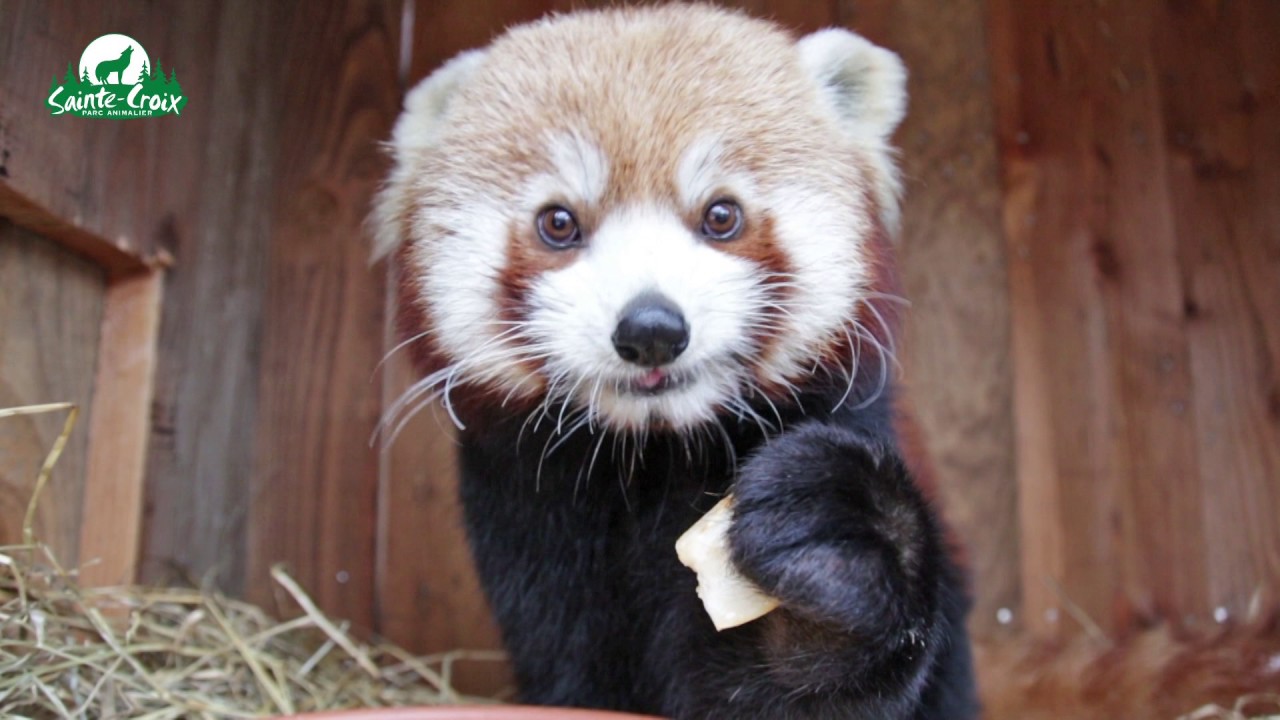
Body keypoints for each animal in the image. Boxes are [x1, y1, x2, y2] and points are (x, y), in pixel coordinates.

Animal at [372, 5, 977, 718]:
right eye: (558, 223)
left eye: (721, 215)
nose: (652, 329)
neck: (650, 456)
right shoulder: (528, 517)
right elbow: (573, 670)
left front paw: (839, 540)